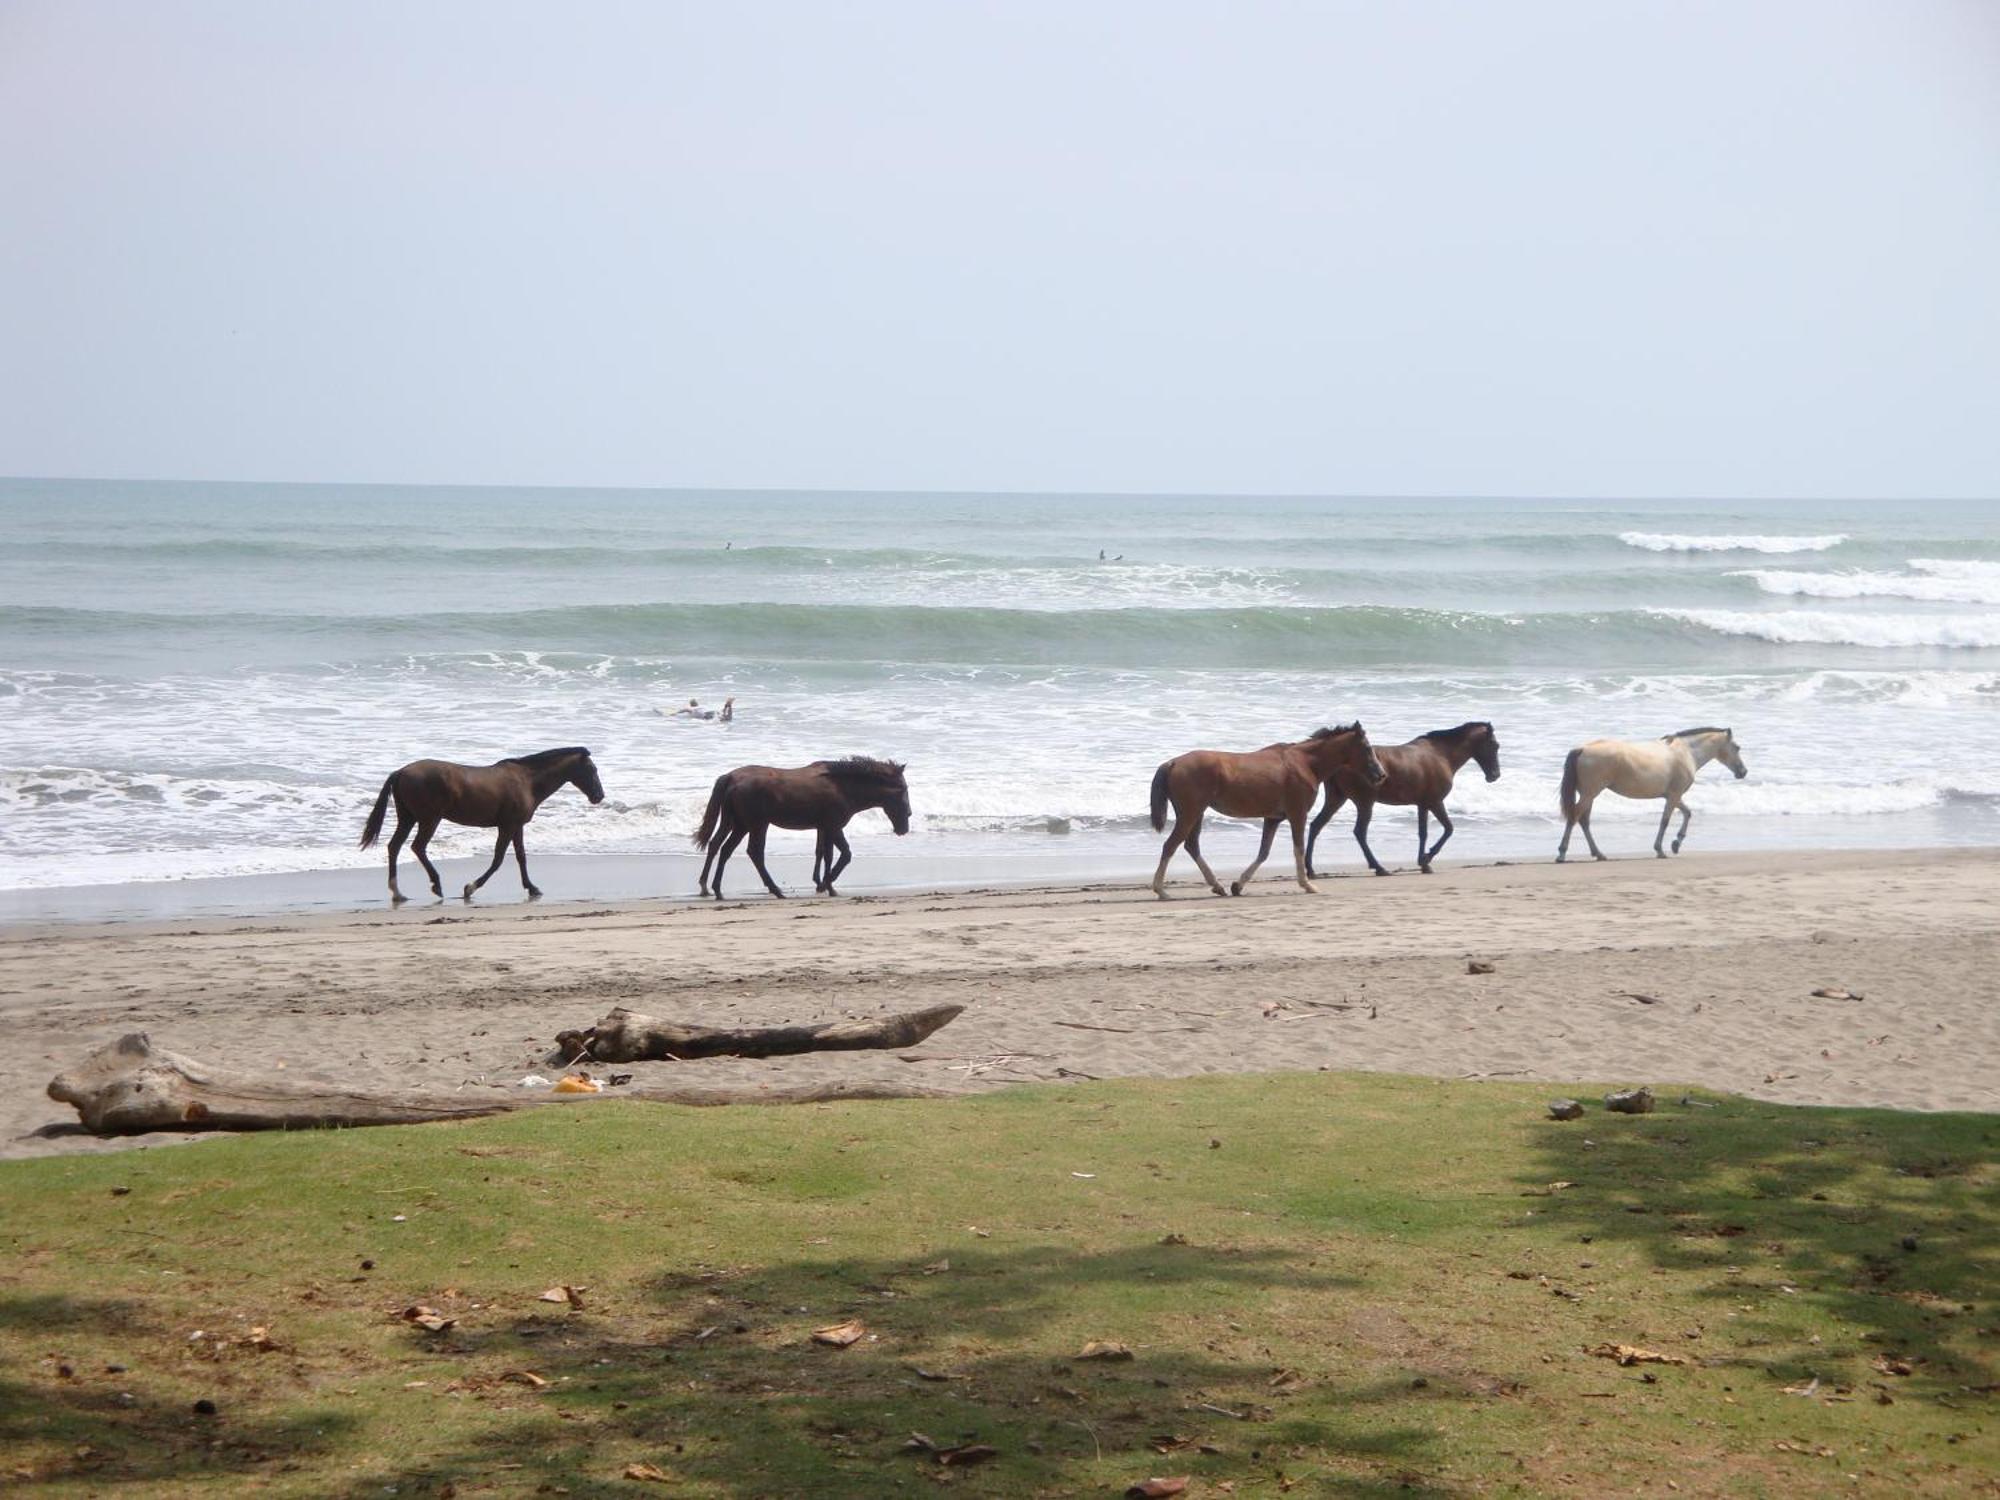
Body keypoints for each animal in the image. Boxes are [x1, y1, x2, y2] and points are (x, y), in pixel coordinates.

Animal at [360, 748, 604, 904]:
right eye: (592, 769)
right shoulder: (507, 826)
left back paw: (398, 892)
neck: (526, 780)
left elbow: (521, 856)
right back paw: (436, 885)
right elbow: (498, 860)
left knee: (394, 847)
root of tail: (401, 771)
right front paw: (470, 887)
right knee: (417, 847)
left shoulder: (517, 826)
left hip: (408, 818)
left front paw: (532, 887)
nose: (599, 796)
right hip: (429, 819)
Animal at [688, 756, 908, 900]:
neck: (842, 786)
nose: (904, 827)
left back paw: (714, 889)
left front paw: (826, 886)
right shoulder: (834, 826)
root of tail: (731, 778)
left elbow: (824, 854)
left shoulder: (824, 827)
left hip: (739, 824)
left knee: (722, 847)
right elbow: (845, 854)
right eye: (903, 789)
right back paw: (775, 890)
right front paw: (826, 884)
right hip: (756, 824)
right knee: (754, 853)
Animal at [1152, 724, 1384, 900]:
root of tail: (1173, 762)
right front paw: (1307, 885)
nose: (1381, 774)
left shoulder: (1273, 819)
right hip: (1190, 814)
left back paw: (1217, 886)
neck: (1304, 763)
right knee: (1170, 846)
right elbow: (1298, 848)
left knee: (1191, 846)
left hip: (1196, 814)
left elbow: (1263, 852)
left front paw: (1238, 885)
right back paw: (1161, 890)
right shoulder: (1297, 814)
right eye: (1366, 747)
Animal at [1296, 720, 1504, 876]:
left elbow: (1423, 832)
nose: (1494, 775)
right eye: (1495, 745)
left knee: (1316, 826)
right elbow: (1448, 829)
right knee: (1359, 833)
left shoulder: (1423, 804)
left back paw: (1311, 870)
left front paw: (1424, 863)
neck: (1441, 755)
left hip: (1336, 799)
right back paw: (1379, 868)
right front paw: (1427, 858)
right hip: (1365, 803)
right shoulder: (1435, 802)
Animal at [1552, 724, 1744, 864]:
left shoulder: (1673, 796)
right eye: (1737, 747)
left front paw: (1676, 843)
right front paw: (1661, 849)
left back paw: (1599, 854)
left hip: (1589, 795)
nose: (1743, 772)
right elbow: (1665, 821)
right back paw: (1562, 854)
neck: (1686, 751)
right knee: (1574, 817)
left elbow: (1687, 813)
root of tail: (1582, 749)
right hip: (1589, 794)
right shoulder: (1674, 796)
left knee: (1584, 821)